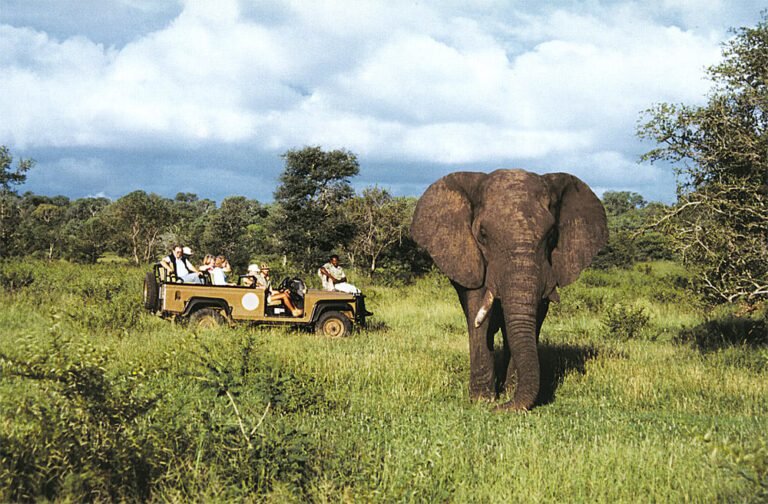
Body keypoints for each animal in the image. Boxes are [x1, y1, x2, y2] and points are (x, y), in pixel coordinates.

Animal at [411, 169, 608, 411]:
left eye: (552, 234)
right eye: (483, 234)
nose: (498, 409)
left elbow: (535, 315)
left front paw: (506, 393)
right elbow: (477, 308)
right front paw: (482, 400)